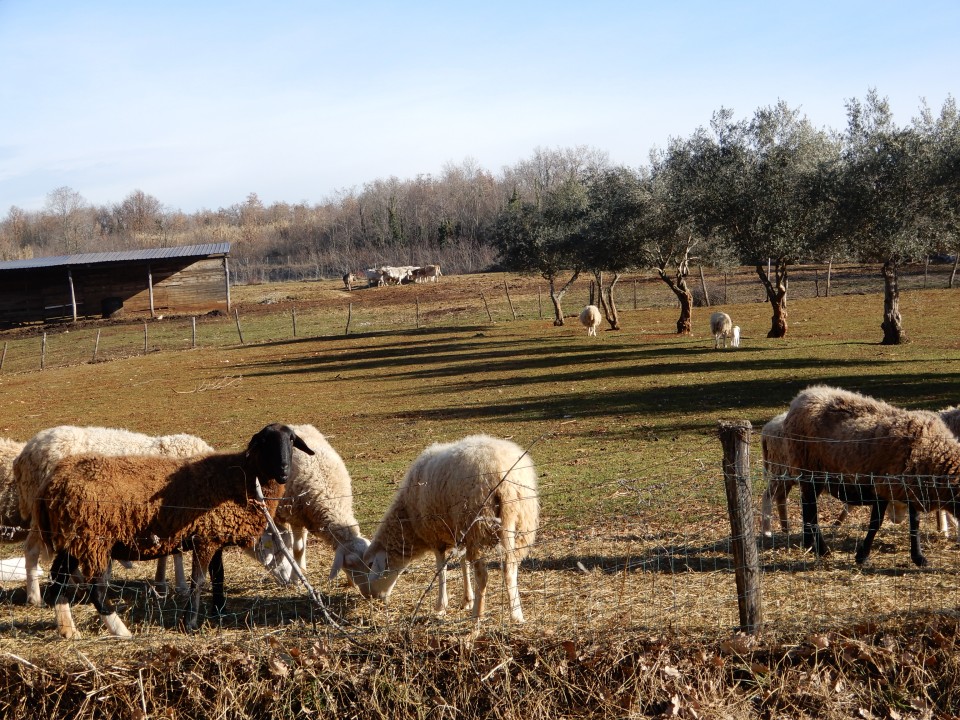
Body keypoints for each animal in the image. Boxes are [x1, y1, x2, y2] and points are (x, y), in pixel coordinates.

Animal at [34, 424, 316, 640]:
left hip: (73, 539)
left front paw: (219, 611)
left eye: (292, 440)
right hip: (93, 539)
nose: (284, 470)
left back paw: (68, 631)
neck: (240, 476)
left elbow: (218, 576)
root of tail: (51, 483)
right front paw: (189, 622)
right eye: (266, 441)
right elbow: (198, 581)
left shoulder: (214, 534)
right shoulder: (205, 539)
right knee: (96, 589)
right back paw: (121, 631)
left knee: (57, 580)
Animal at [356, 434, 544, 624]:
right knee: (510, 567)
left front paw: (441, 607)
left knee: (482, 574)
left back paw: (477, 615)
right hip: (519, 523)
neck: (408, 521)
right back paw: (516, 615)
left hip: (476, 524)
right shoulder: (458, 533)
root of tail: (503, 478)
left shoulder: (436, 537)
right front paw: (467, 600)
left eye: (370, 565)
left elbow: (441, 570)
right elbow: (463, 562)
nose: (370, 596)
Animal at [780, 386, 960, 564]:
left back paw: (810, 545)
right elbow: (876, 522)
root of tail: (803, 396)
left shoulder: (909, 489)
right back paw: (821, 549)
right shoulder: (884, 486)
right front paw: (862, 556)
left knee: (807, 507)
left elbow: (914, 523)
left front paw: (918, 557)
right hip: (809, 470)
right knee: (811, 510)